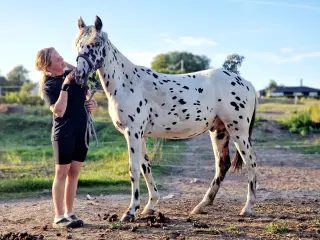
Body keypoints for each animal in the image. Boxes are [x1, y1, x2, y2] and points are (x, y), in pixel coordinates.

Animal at [74, 15, 258, 223]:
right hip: (219, 131)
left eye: (95, 43)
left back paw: (247, 207)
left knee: (251, 162)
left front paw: (130, 212)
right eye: (77, 44)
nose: (79, 75)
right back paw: (201, 206)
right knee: (222, 165)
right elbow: (146, 167)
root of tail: (247, 83)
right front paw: (149, 207)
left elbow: (134, 169)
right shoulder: (140, 135)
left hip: (238, 132)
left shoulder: (133, 132)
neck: (128, 83)